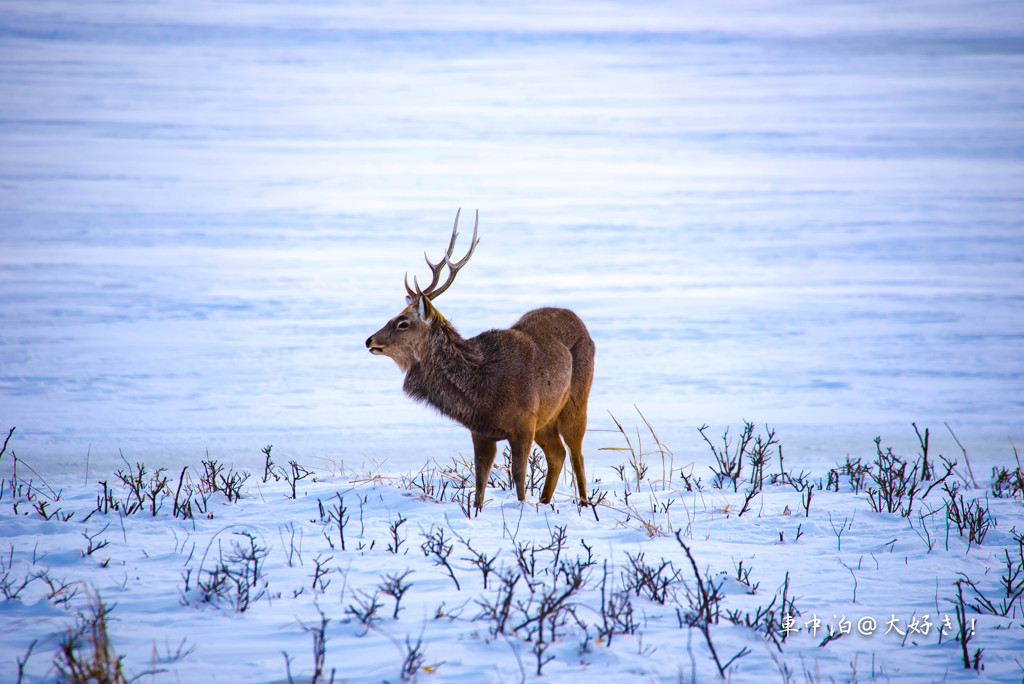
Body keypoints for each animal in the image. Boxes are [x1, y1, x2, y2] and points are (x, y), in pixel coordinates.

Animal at [366, 209, 593, 507]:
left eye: (403, 323)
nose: (370, 340)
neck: (484, 392)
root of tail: (579, 320)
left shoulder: (523, 424)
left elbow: (518, 477)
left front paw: (521, 507)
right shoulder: (481, 431)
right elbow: (480, 483)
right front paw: (477, 510)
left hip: (576, 401)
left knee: (577, 453)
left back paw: (585, 503)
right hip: (546, 418)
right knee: (558, 454)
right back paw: (545, 503)